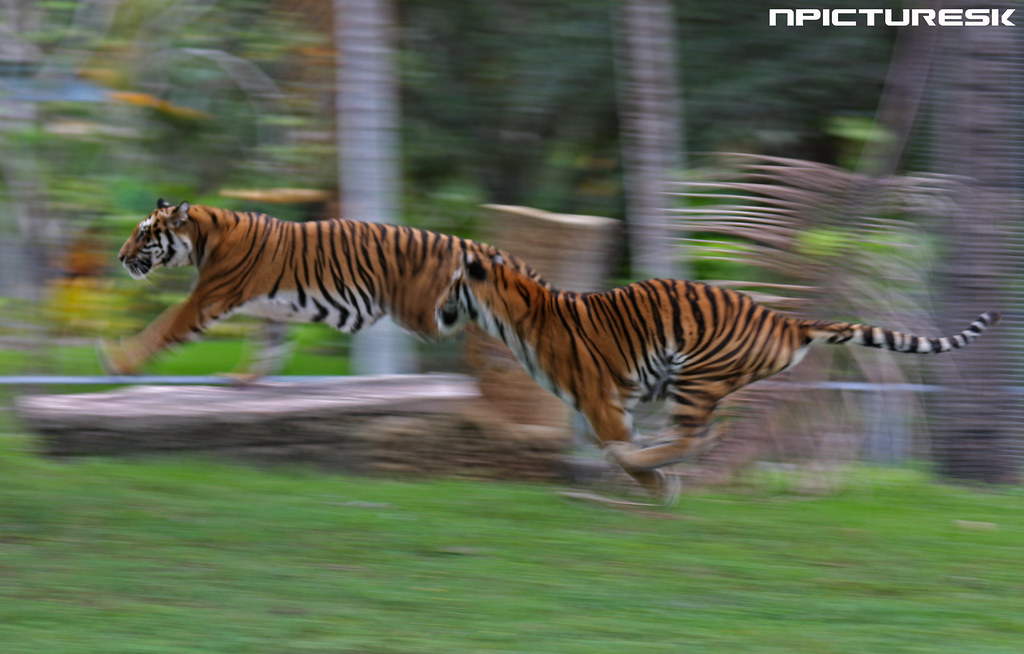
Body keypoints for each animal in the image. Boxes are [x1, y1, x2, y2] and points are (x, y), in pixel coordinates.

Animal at [99, 198, 548, 375]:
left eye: (143, 234)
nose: (119, 257)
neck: (204, 238)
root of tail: (473, 244)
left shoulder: (205, 299)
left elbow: (162, 327)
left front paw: (118, 362)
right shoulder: (270, 310)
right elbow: (270, 345)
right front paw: (245, 379)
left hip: (426, 312)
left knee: (487, 325)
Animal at [436, 250, 1000, 503]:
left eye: (452, 282)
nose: (439, 306)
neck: (515, 313)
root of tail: (784, 319)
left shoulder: (600, 400)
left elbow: (619, 445)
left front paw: (653, 484)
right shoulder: (609, 404)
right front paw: (649, 480)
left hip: (694, 374)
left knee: (695, 435)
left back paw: (650, 466)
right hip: (698, 383)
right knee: (709, 434)